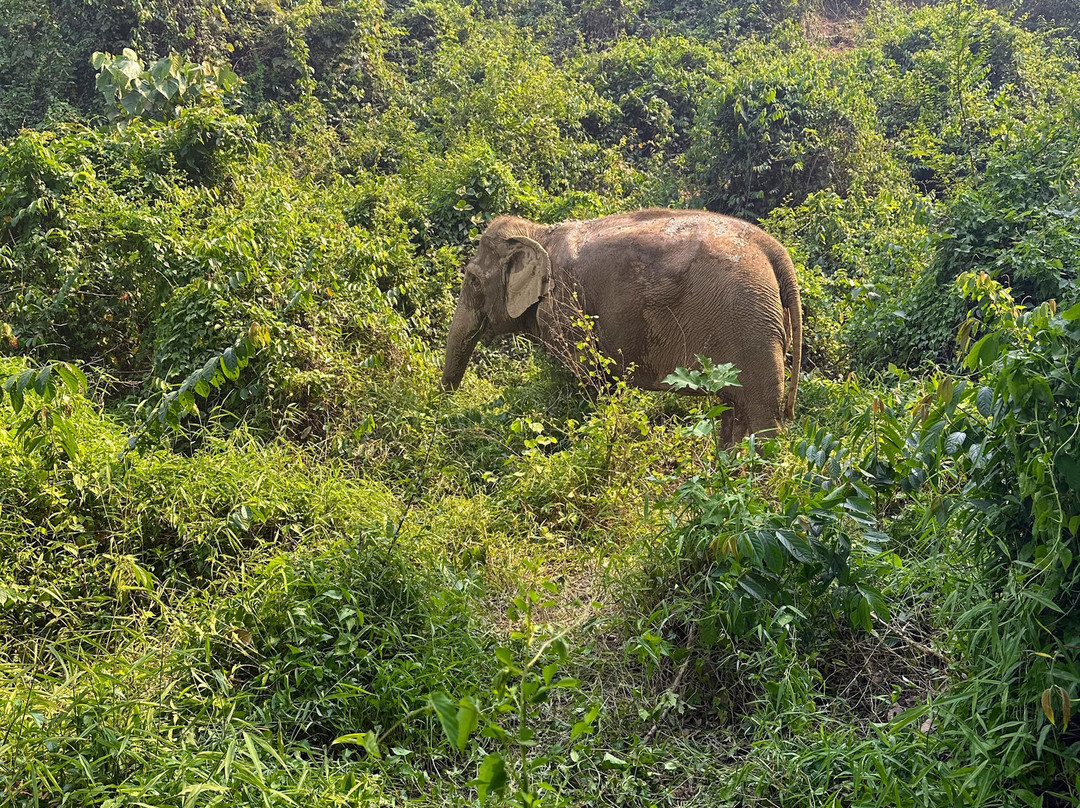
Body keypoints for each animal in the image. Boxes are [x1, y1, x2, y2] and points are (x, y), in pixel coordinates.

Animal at [439, 208, 802, 442]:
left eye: (472, 280)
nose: (445, 409)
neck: (538, 233)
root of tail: (774, 250)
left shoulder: (565, 309)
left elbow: (590, 379)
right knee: (734, 410)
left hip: (750, 325)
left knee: (763, 416)